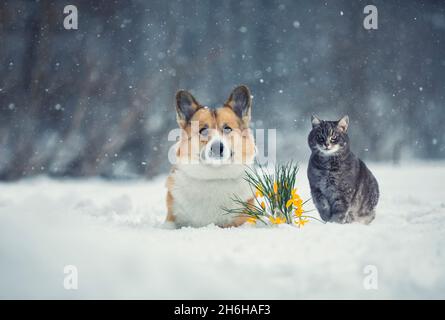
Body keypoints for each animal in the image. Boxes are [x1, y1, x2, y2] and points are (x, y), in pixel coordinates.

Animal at [165, 85, 255, 228]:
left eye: (227, 128)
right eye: (203, 130)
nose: (217, 147)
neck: (214, 176)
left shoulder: (244, 219)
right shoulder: (172, 218)